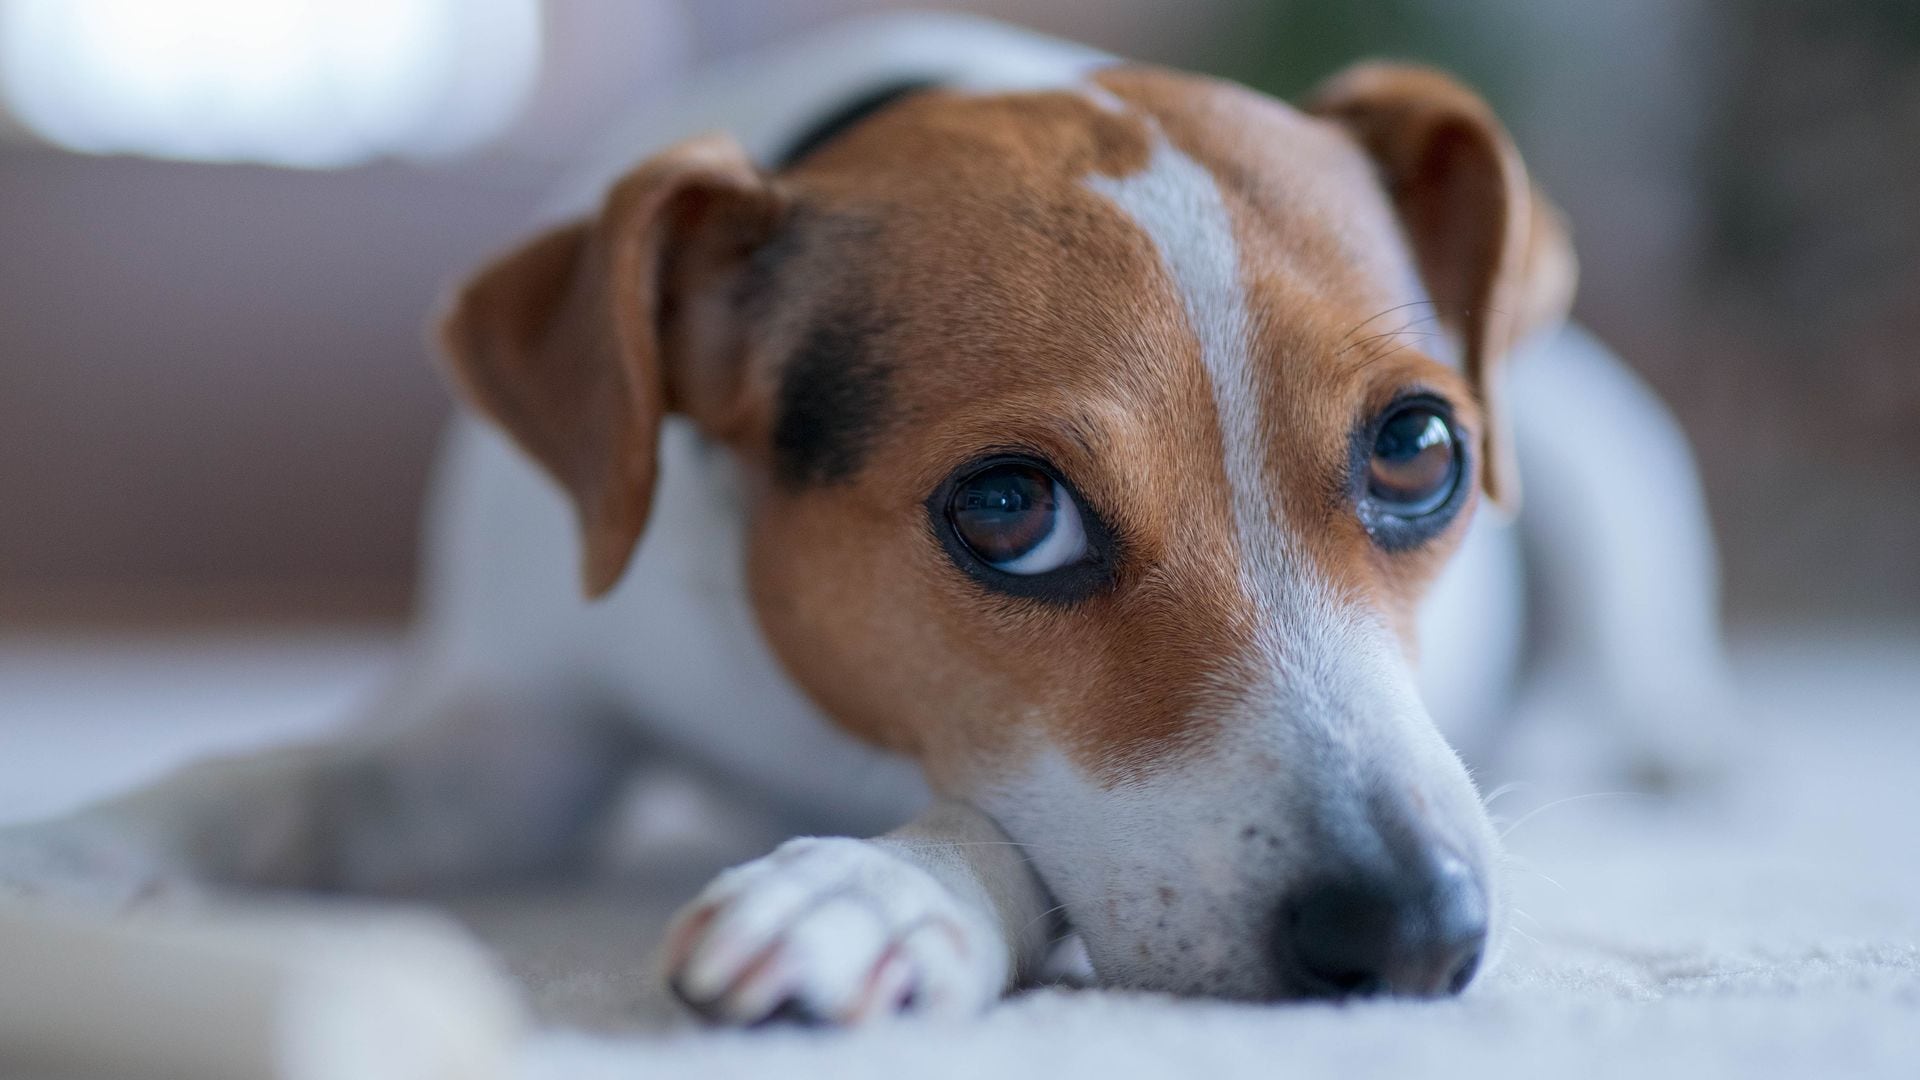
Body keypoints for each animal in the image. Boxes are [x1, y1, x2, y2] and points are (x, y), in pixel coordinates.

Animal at [0, 14, 1728, 1022]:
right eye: (1011, 511)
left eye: (1420, 450)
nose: (1419, 931)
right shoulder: (516, 740)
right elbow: (284, 777)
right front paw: (79, 848)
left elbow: (1002, 828)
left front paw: (871, 889)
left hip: (1608, 461)